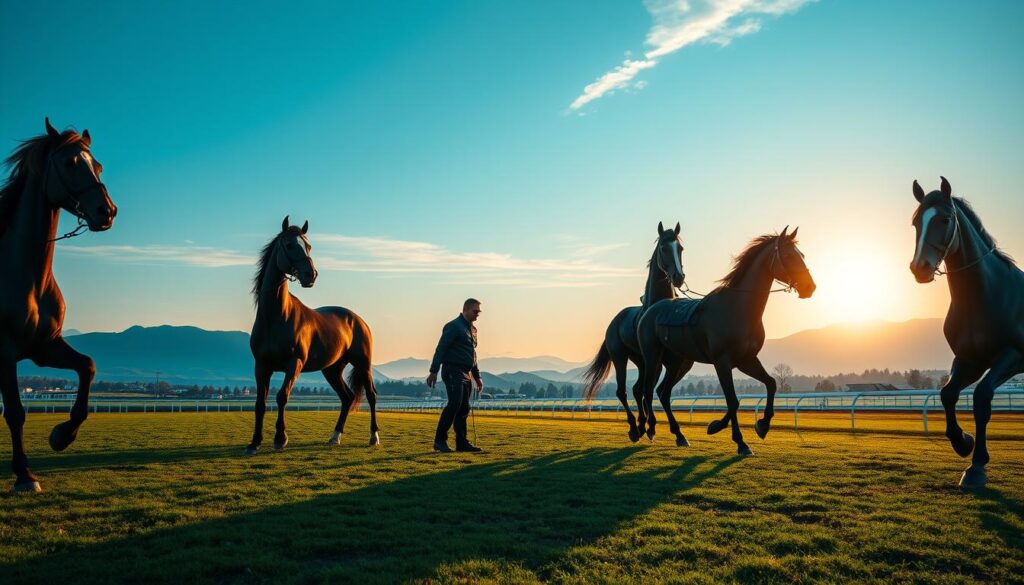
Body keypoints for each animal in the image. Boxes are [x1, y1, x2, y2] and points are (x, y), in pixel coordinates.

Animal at [0, 116, 117, 491]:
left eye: (98, 165)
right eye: (70, 163)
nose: (106, 211)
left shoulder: (44, 347)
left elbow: (88, 367)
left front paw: (61, 435)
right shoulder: (5, 350)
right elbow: (15, 411)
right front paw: (24, 474)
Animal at [246, 217, 380, 454]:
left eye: (308, 246)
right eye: (289, 245)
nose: (311, 275)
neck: (275, 317)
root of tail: (358, 320)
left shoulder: (294, 364)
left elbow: (282, 397)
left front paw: (280, 439)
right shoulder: (261, 366)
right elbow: (260, 403)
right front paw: (254, 443)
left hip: (362, 363)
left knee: (371, 395)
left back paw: (373, 436)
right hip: (332, 369)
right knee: (347, 398)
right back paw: (335, 436)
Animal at [581, 222, 684, 442]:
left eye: (680, 248)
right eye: (664, 247)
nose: (679, 277)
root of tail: (614, 322)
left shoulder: (660, 360)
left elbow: (650, 391)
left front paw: (651, 425)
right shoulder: (653, 359)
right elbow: (649, 391)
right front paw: (651, 426)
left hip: (640, 360)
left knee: (638, 389)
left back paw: (642, 424)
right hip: (620, 357)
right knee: (623, 391)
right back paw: (634, 429)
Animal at [630, 227, 815, 452]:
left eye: (801, 255)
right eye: (788, 256)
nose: (809, 286)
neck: (737, 309)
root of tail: (651, 309)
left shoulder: (746, 360)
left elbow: (770, 384)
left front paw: (759, 425)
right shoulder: (722, 362)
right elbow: (732, 400)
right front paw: (740, 441)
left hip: (679, 362)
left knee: (663, 392)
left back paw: (679, 435)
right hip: (652, 358)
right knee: (647, 390)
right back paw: (650, 429)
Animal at [909, 176, 1019, 487]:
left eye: (945, 219)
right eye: (915, 222)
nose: (919, 268)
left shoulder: (1012, 355)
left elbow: (981, 397)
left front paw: (977, 466)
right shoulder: (969, 360)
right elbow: (947, 394)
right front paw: (963, 442)